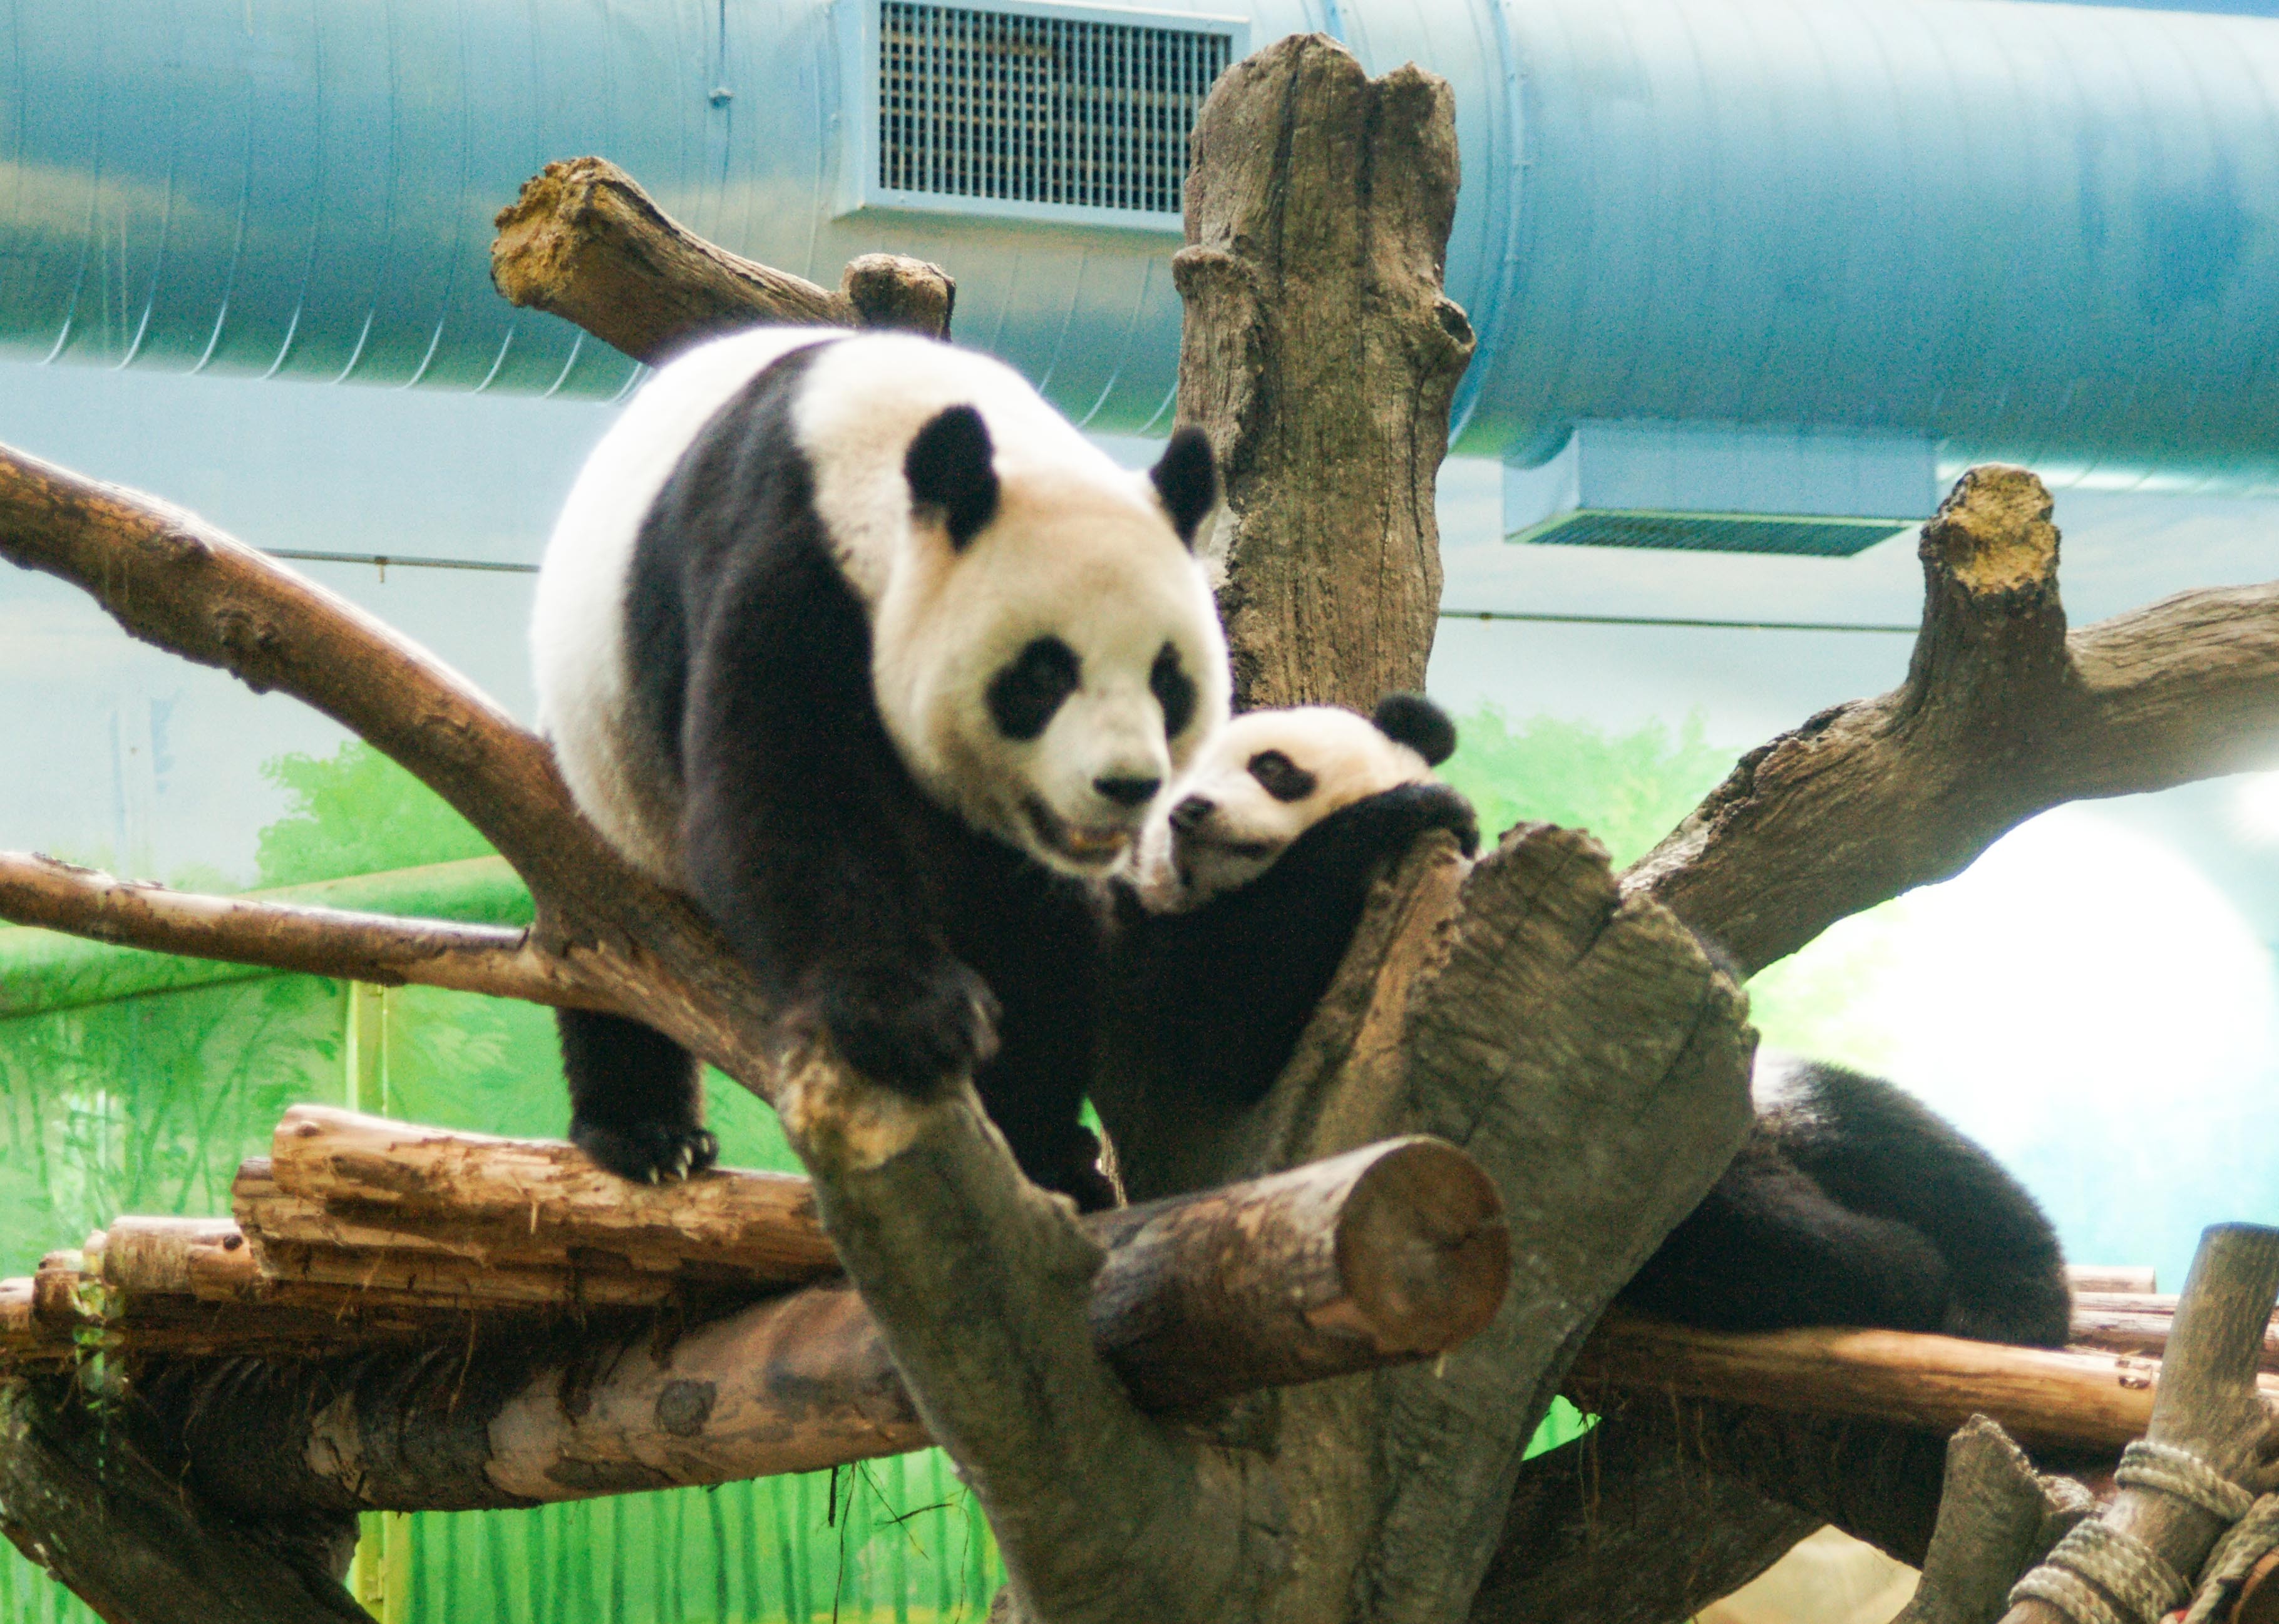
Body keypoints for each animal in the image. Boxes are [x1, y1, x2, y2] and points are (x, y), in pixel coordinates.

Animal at [531, 326, 1230, 1202]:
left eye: (1167, 678)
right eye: (1043, 674)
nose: (1127, 784)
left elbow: (1040, 926)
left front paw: (1041, 1148)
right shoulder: (786, 560)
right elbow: (783, 799)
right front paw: (915, 1018)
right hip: (601, 770)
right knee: (608, 941)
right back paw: (649, 1135)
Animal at [1112, 692, 2078, 1339]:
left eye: (1271, 767)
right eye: (1161, 789)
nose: (1190, 813)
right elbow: (1231, 1026)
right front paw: (1399, 812)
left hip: (1781, 1102)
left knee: (1916, 1153)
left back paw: (2010, 1296)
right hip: (1650, 1201)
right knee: (1764, 1242)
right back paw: (1905, 1270)